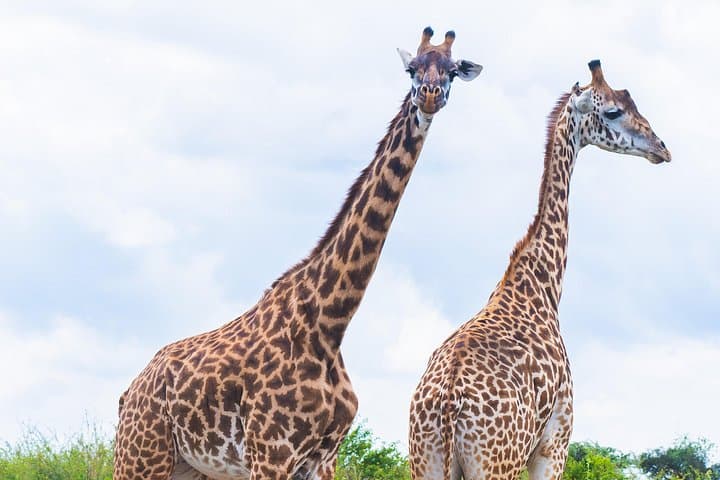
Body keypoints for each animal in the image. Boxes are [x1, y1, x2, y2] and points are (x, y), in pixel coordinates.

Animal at [114, 27, 482, 480]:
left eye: (451, 70)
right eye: (412, 68)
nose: (429, 97)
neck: (329, 322)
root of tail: (130, 391)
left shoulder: (323, 458)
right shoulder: (270, 451)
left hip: (189, 466)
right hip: (142, 454)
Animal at [408, 60, 671, 480]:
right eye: (614, 110)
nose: (662, 148)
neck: (541, 285)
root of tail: (449, 403)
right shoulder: (555, 441)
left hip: (426, 458)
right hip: (496, 462)